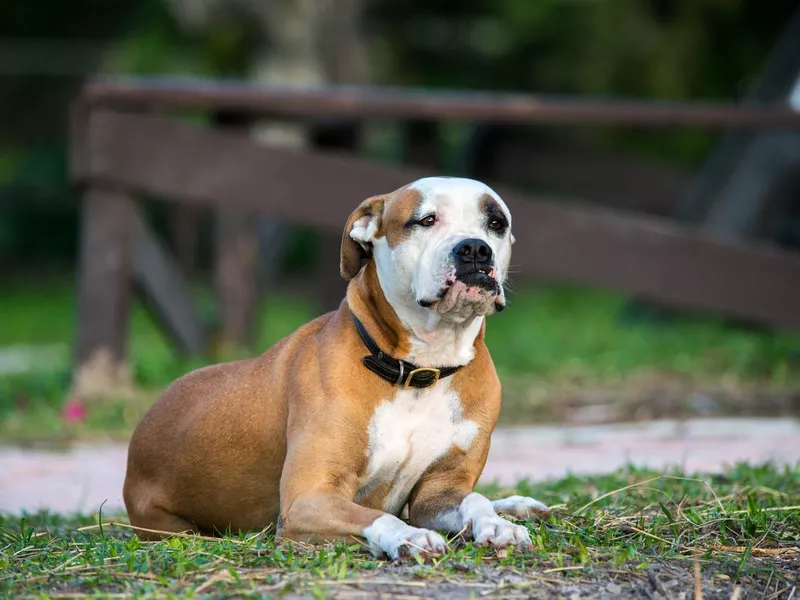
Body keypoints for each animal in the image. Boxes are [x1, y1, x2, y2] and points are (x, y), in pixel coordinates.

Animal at [123, 176, 552, 560]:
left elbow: (473, 499)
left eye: (496, 223)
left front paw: (498, 525)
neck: (419, 371)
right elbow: (376, 517)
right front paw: (409, 537)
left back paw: (514, 506)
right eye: (426, 219)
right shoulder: (308, 498)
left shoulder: (440, 492)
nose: (476, 249)